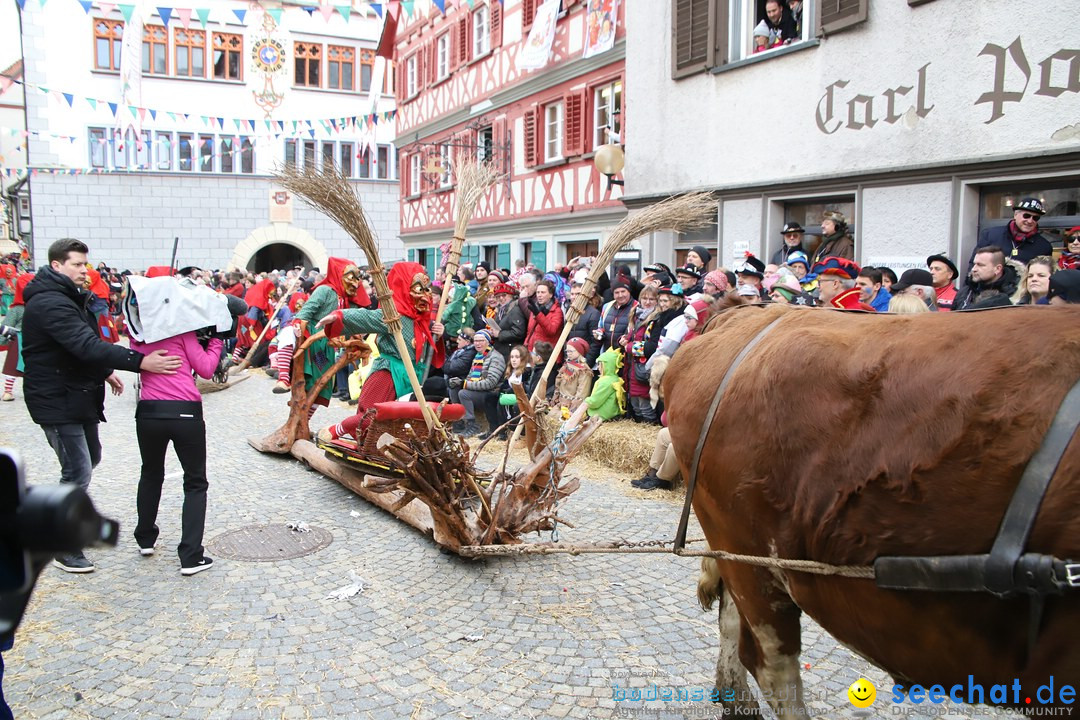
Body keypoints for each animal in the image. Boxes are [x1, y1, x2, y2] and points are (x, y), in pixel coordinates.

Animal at [660, 302, 1080, 716]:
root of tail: (748, 312)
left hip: (744, 553)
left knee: (735, 623)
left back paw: (736, 700)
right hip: (748, 555)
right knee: (771, 664)